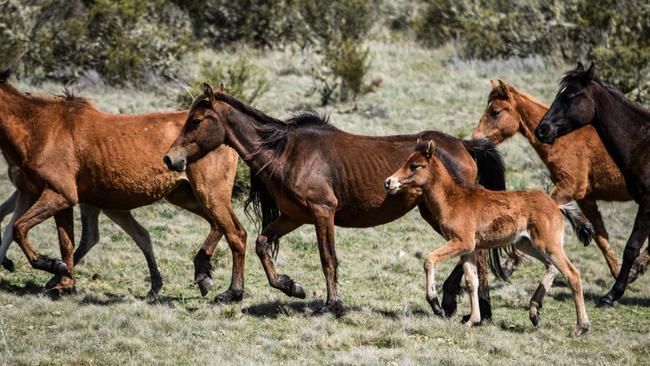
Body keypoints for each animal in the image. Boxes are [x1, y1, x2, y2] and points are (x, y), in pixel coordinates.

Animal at [0, 60, 246, 300]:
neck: (38, 128)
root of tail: (227, 136)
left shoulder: (59, 195)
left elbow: (20, 228)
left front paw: (56, 271)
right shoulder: (50, 196)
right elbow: (62, 241)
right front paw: (63, 281)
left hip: (209, 193)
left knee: (234, 231)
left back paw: (227, 288)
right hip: (183, 196)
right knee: (217, 225)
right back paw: (200, 276)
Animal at [162, 85, 506, 314]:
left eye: (196, 121)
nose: (170, 158)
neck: (286, 152)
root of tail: (463, 145)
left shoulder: (322, 212)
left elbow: (328, 258)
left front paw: (332, 304)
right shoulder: (293, 216)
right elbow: (261, 243)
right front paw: (287, 287)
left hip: (442, 213)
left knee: (476, 252)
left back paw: (455, 302)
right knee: (475, 252)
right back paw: (473, 308)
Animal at [384, 141, 592, 338]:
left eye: (415, 166)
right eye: (406, 161)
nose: (388, 182)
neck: (453, 199)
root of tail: (556, 206)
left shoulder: (462, 242)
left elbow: (429, 260)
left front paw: (436, 305)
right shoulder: (469, 249)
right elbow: (471, 281)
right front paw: (472, 320)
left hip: (548, 245)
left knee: (572, 274)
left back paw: (580, 327)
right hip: (526, 243)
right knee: (552, 267)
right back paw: (534, 312)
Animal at [468, 79, 632, 278]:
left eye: (496, 111)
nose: (475, 139)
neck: (562, 138)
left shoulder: (569, 188)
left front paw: (511, 263)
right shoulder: (586, 199)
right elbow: (601, 236)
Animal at [532, 64, 648, 308]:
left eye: (570, 96)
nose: (542, 130)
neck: (643, 145)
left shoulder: (647, 202)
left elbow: (631, 247)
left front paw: (612, 295)